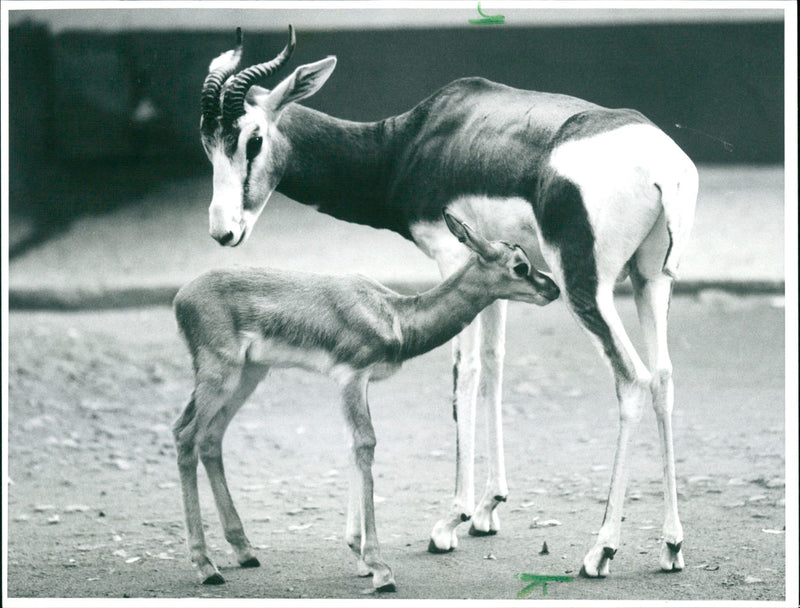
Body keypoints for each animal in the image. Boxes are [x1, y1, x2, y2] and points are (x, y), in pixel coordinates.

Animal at [173, 211, 560, 589]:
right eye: (520, 266)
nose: (553, 288)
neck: (394, 316)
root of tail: (181, 297)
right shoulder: (351, 378)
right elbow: (364, 445)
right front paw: (379, 567)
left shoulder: (359, 383)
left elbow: (352, 447)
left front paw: (359, 555)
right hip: (220, 374)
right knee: (185, 434)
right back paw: (206, 566)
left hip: (248, 375)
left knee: (210, 438)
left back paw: (244, 551)